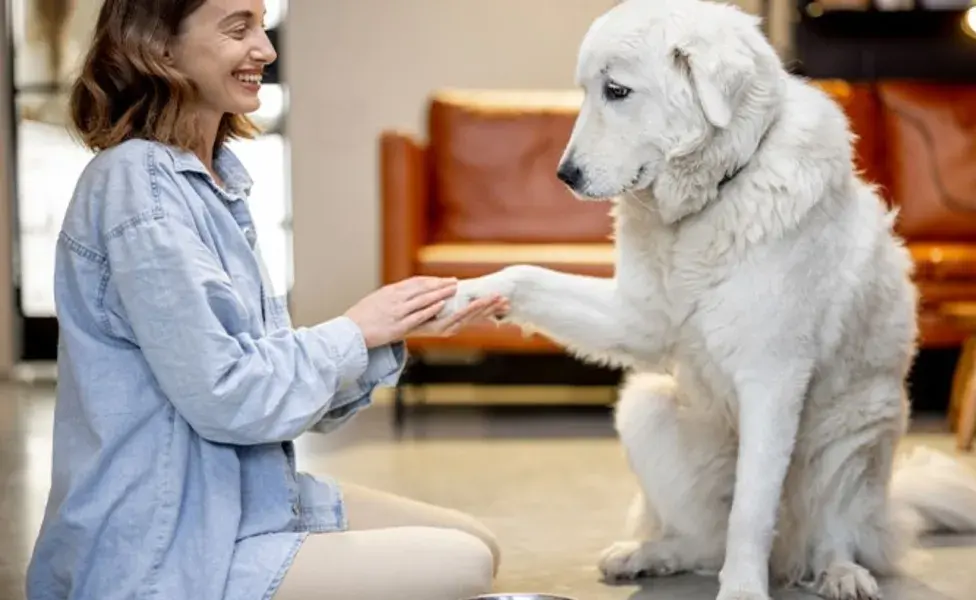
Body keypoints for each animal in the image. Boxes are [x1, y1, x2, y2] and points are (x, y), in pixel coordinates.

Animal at [438, 0, 976, 596]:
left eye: (617, 91)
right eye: (587, 91)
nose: (564, 175)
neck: (713, 198)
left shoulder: (772, 378)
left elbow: (751, 510)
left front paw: (742, 588)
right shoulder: (637, 319)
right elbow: (528, 275)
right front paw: (467, 294)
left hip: (853, 436)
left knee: (830, 534)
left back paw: (840, 573)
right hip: (642, 407)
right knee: (697, 540)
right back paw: (646, 554)